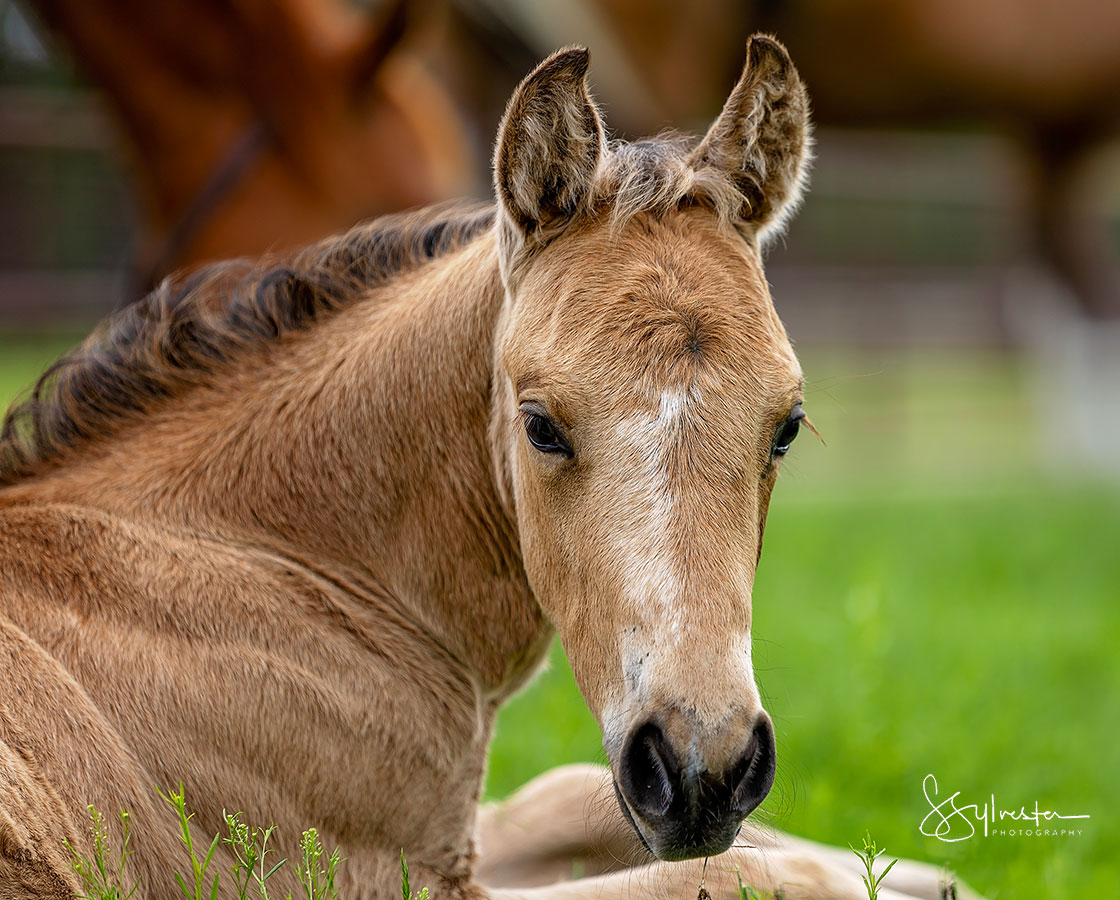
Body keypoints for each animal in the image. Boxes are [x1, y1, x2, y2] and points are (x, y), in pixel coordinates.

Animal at [0, 35, 963, 900]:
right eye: (540, 426)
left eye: (787, 428)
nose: (704, 773)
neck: (273, 558)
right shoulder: (381, 879)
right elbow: (717, 872)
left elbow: (569, 795)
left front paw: (929, 871)